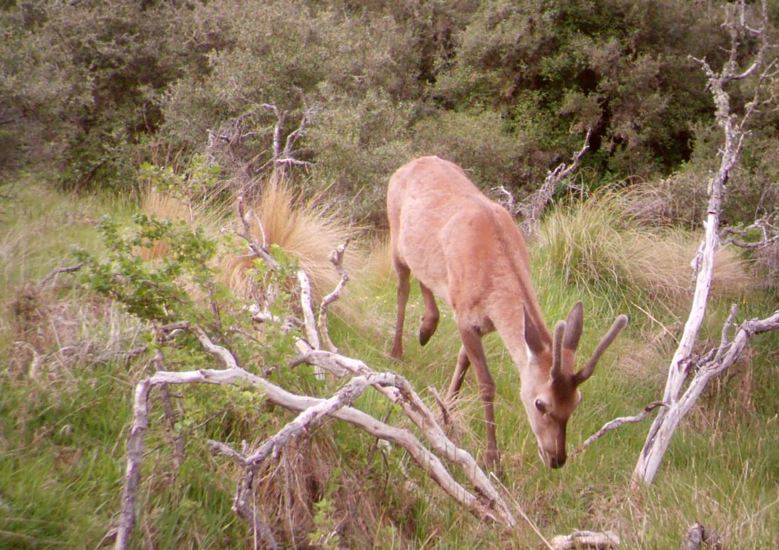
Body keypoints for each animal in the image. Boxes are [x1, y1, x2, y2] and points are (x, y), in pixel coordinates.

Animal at [387, 156, 628, 472]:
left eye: (577, 401)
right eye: (540, 403)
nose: (556, 458)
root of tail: (410, 163)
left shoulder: (480, 322)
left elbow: (463, 363)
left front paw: (447, 410)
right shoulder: (464, 315)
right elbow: (486, 384)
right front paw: (492, 458)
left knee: (423, 275)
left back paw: (426, 328)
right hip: (393, 231)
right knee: (402, 286)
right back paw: (397, 350)